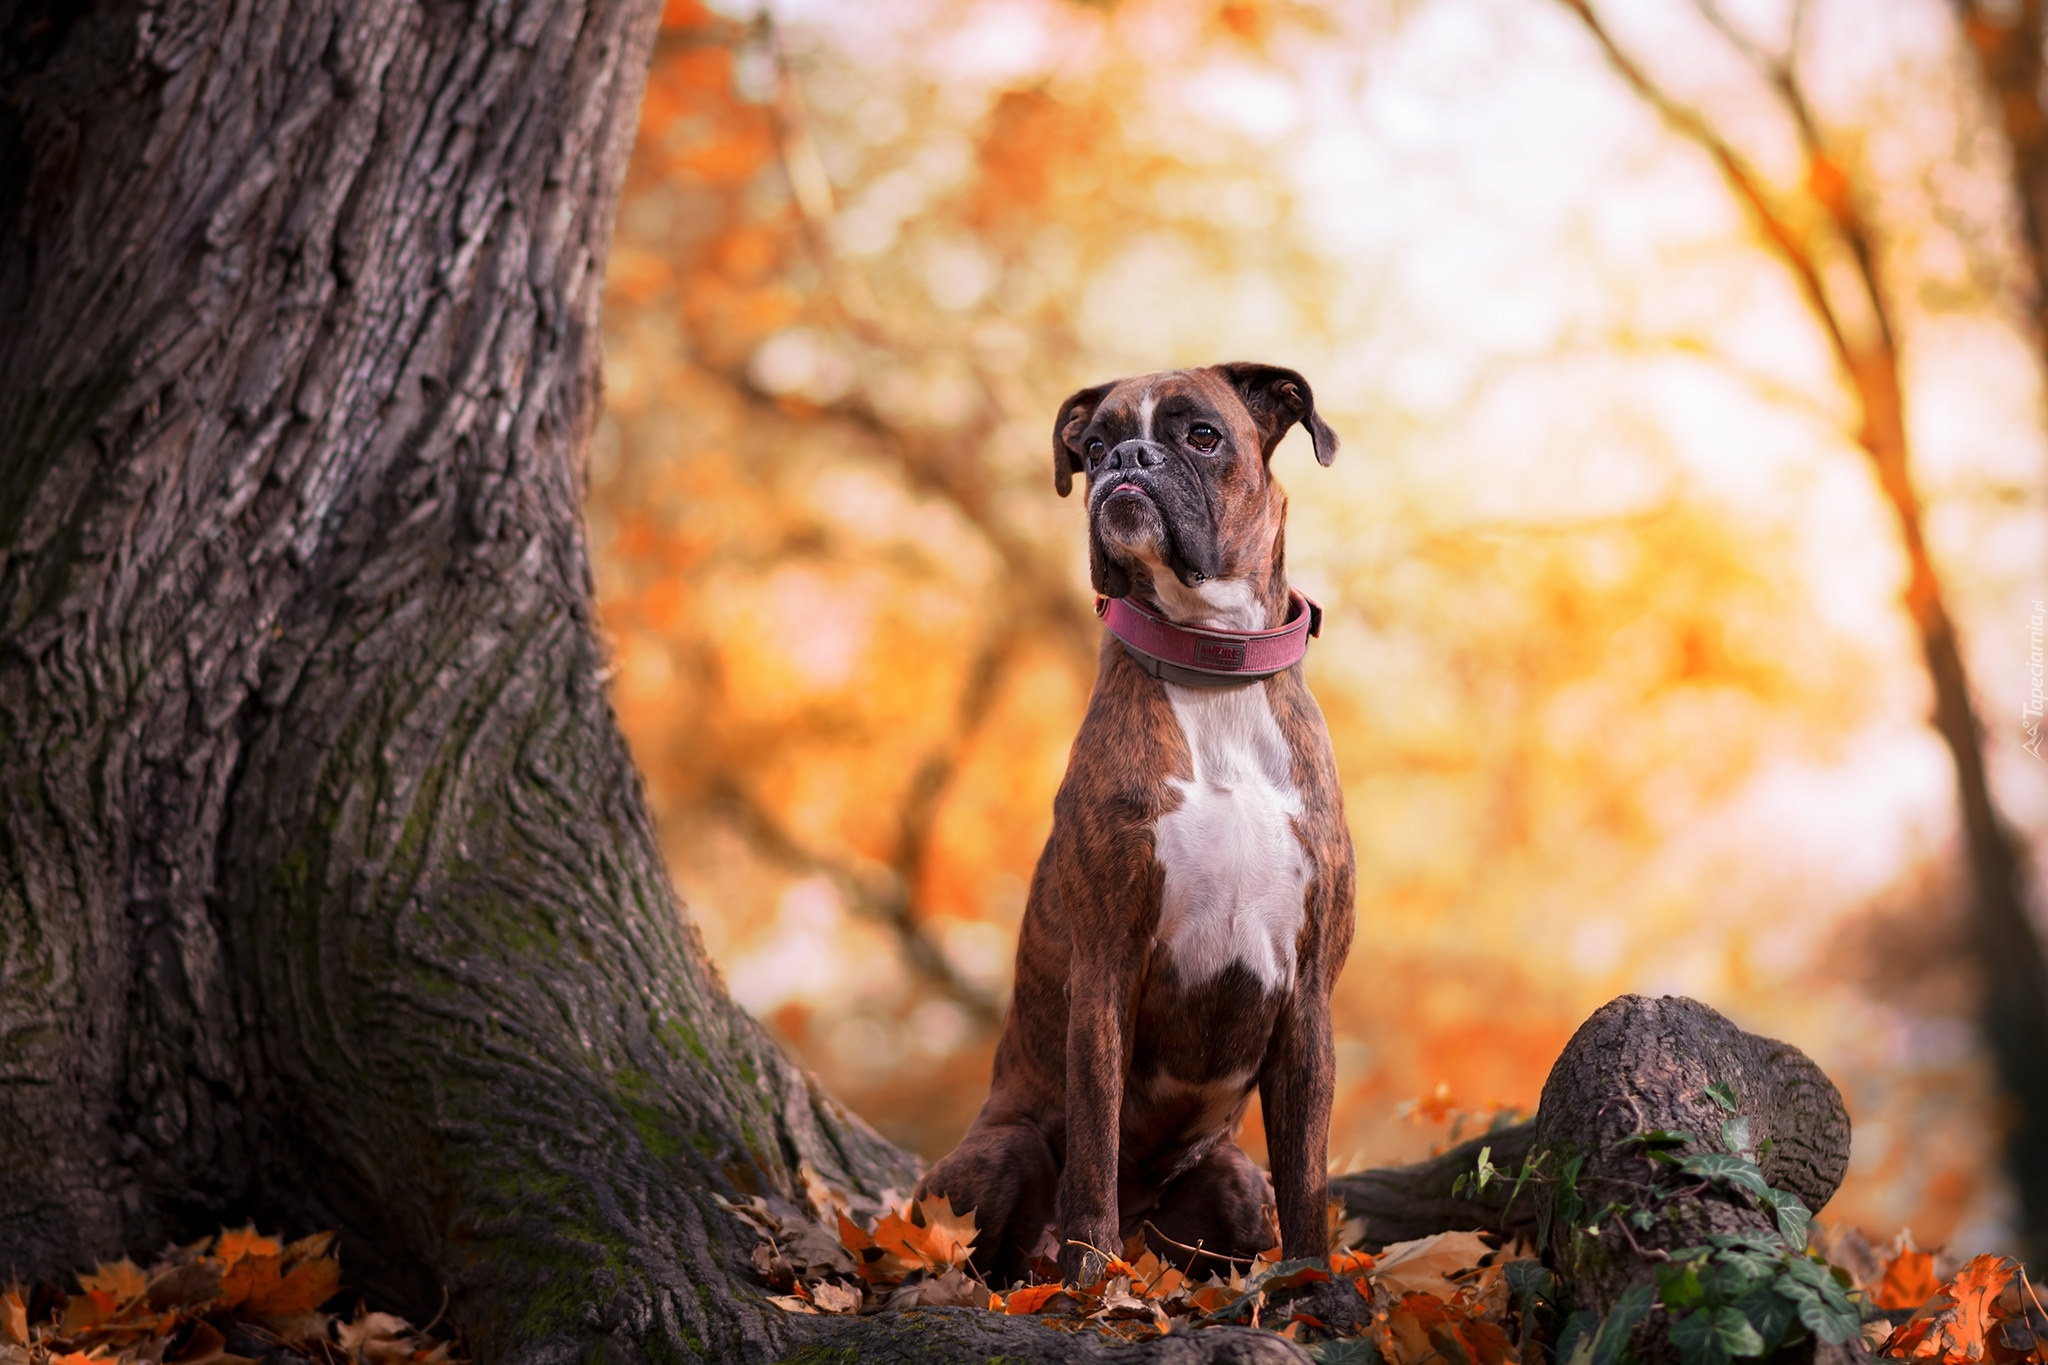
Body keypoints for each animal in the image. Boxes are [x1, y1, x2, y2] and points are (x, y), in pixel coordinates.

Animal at [921, 358, 1351, 1285]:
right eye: (1091, 446)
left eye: (1202, 435)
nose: (1128, 458)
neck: (1214, 671)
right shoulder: (1105, 965)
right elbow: (1094, 1139)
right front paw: (1090, 1278)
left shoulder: (1308, 993)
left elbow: (1307, 1170)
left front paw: (1317, 1287)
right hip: (998, 1155)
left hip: (1235, 1183)